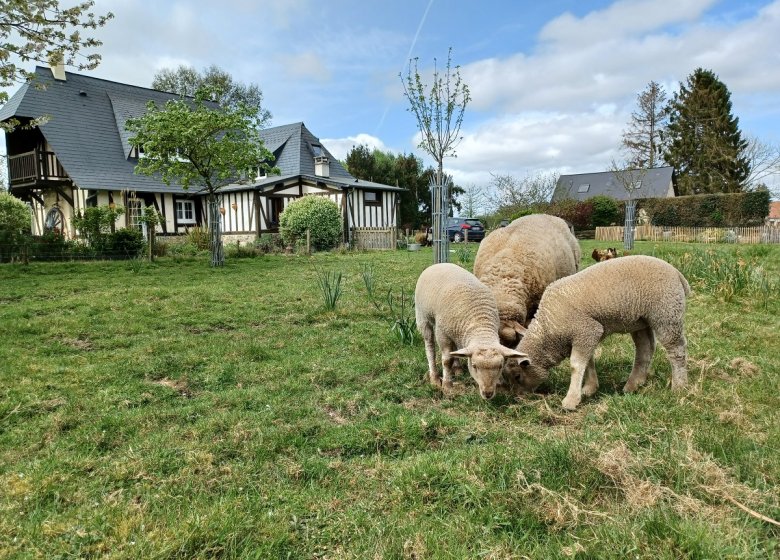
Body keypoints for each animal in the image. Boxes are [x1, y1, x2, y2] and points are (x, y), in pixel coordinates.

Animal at [412, 264, 528, 400]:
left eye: (500, 366)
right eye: (474, 366)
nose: (488, 393)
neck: (480, 325)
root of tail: (439, 264)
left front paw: (501, 385)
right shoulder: (442, 333)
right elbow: (447, 361)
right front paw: (447, 385)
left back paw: (457, 369)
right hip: (423, 317)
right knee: (429, 347)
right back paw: (434, 378)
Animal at [506, 256, 696, 410]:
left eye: (517, 376)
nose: (519, 399)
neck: (548, 329)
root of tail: (677, 273)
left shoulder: (586, 329)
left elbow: (576, 365)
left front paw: (571, 400)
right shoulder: (587, 335)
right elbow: (588, 361)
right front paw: (589, 388)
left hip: (666, 314)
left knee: (676, 350)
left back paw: (679, 386)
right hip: (640, 321)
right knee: (645, 349)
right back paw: (633, 384)